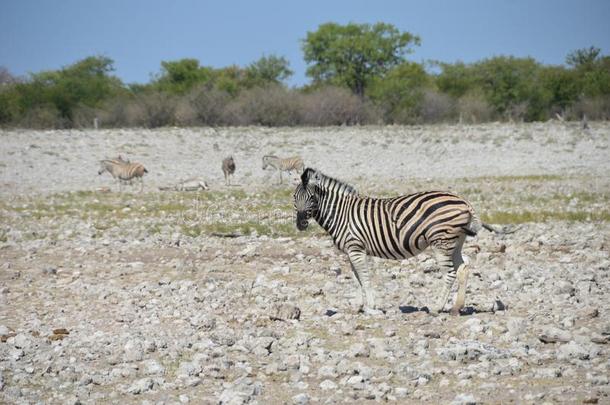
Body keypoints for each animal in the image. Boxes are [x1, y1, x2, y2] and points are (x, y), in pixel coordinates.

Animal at [292, 167, 492, 316]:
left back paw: (436, 307)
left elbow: (364, 277)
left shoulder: (356, 248)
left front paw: (371, 306)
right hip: (455, 242)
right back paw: (456, 308)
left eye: (312, 198)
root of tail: (464, 201)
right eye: (294, 198)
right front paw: (357, 305)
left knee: (450, 273)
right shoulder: (350, 250)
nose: (301, 224)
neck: (341, 213)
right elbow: (357, 278)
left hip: (441, 242)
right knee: (463, 269)